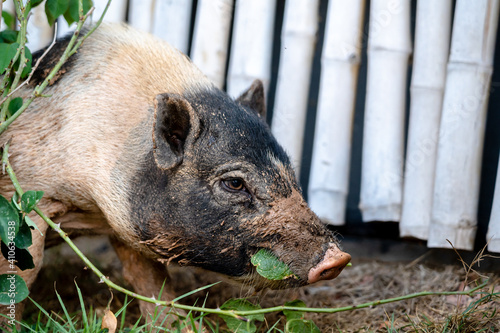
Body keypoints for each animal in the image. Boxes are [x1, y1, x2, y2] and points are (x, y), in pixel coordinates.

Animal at [0, 23, 352, 326]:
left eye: (289, 173)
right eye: (234, 183)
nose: (338, 259)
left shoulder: (125, 227)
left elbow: (151, 281)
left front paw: (178, 326)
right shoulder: (33, 200)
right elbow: (22, 272)